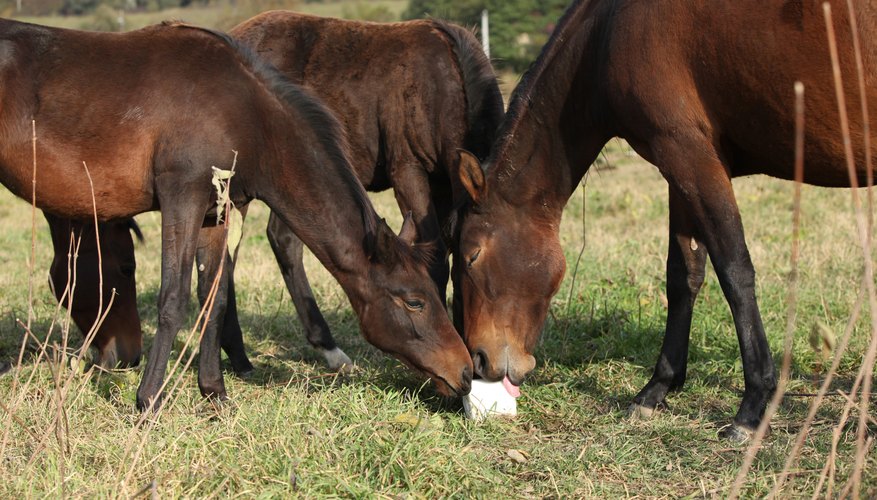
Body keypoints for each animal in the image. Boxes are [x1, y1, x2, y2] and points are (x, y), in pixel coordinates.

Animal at [452, 0, 876, 438]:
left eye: (471, 257)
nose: (479, 359)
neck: (607, 32)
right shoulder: (680, 168)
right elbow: (683, 276)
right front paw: (657, 388)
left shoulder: (690, 155)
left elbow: (735, 273)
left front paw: (753, 404)